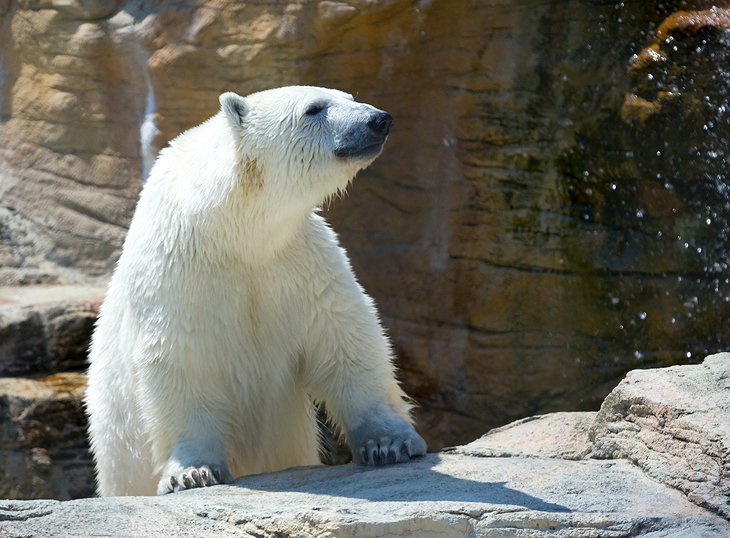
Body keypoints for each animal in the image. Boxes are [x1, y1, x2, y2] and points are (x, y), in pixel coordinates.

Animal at [84, 85, 426, 494]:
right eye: (314, 108)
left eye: (350, 97)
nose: (379, 119)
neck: (233, 230)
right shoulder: (176, 270)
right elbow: (180, 358)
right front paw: (193, 472)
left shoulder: (300, 260)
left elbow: (344, 336)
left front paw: (390, 443)